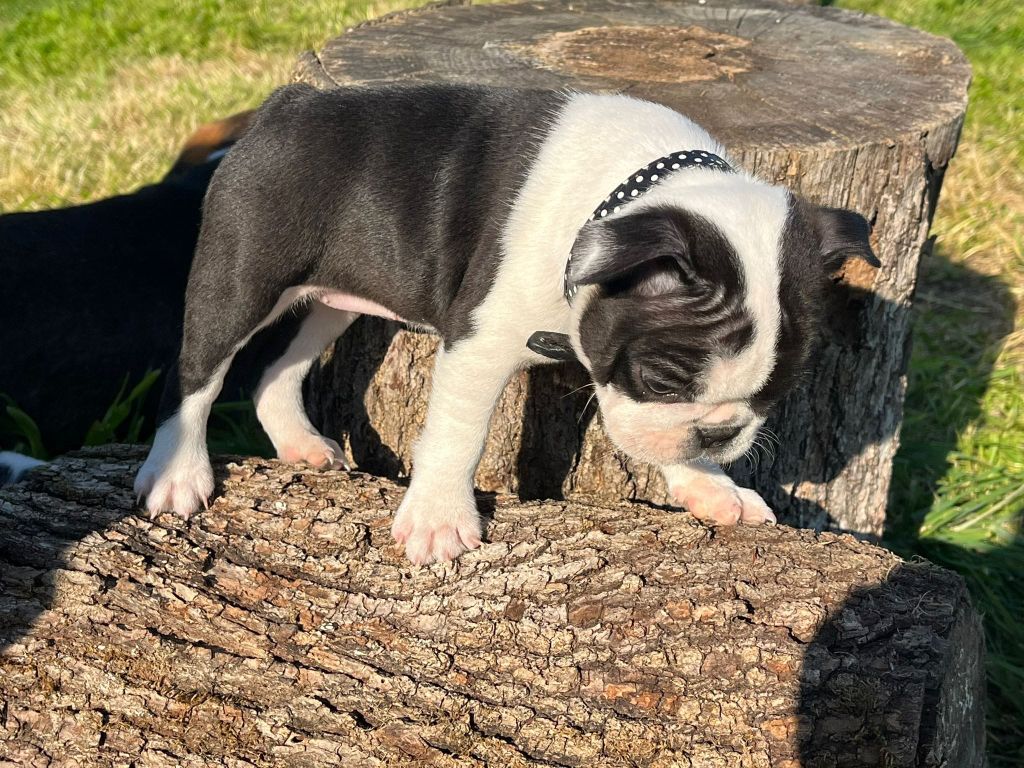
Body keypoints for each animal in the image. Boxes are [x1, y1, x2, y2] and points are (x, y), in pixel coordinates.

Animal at [134, 83, 877, 564]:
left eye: (776, 393)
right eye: (663, 379)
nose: (723, 434)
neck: (630, 195)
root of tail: (283, 106)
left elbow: (666, 441)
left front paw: (710, 486)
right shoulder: (480, 342)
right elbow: (457, 434)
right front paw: (439, 520)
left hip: (334, 299)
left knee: (275, 368)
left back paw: (298, 442)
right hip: (242, 274)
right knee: (198, 373)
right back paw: (177, 473)